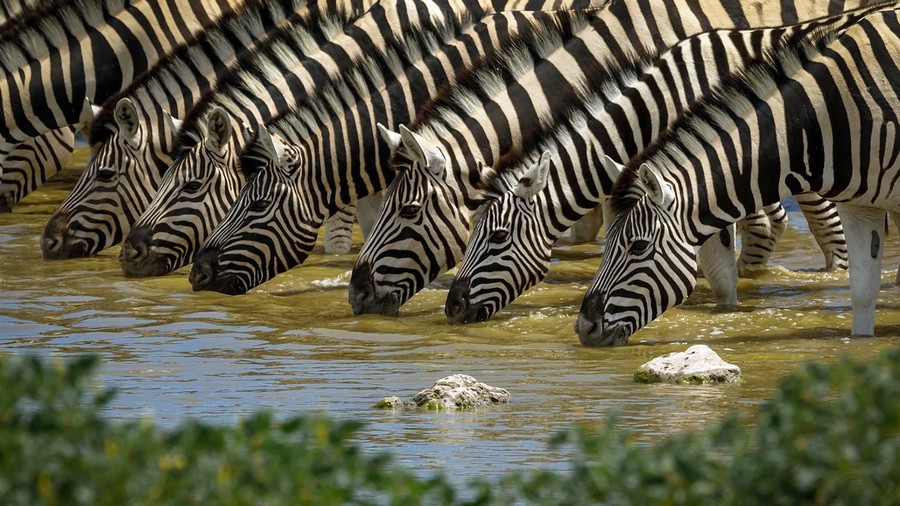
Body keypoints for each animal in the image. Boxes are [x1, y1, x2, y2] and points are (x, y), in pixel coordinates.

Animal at [576, 4, 900, 344]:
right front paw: (860, 344)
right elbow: (862, 291)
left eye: (638, 247)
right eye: (607, 243)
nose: (584, 327)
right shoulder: (860, 205)